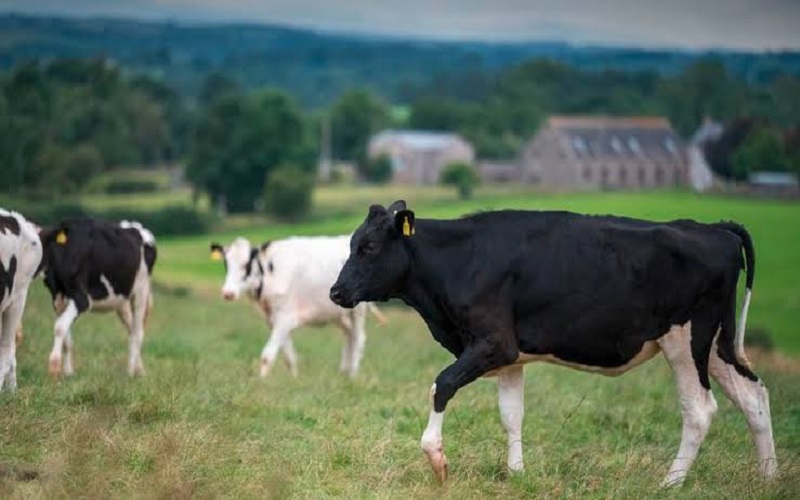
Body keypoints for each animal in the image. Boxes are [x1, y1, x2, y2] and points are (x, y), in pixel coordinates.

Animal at [39, 218, 157, 377]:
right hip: (122, 301)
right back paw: (139, 370)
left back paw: (130, 373)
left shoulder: (82, 299)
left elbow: (59, 327)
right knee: (131, 329)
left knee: (137, 332)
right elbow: (66, 337)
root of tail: (132, 225)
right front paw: (68, 372)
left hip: (141, 290)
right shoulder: (58, 299)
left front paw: (54, 367)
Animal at [210, 236, 386, 378]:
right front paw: (295, 379)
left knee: (358, 338)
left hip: (358, 311)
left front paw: (261, 381)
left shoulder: (285, 317)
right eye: (226, 263)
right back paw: (343, 373)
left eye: (246, 265)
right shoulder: (273, 320)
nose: (228, 293)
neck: (271, 272)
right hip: (340, 314)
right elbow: (289, 356)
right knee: (348, 335)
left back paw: (352, 376)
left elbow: (268, 355)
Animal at [330, 200, 777, 486]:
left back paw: (671, 482)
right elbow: (511, 414)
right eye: (352, 245)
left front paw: (437, 459)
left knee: (699, 409)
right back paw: (769, 477)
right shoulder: (510, 357)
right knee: (753, 395)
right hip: (717, 342)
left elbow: (442, 384)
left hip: (686, 340)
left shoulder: (494, 342)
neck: (460, 259)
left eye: (369, 247)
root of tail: (713, 227)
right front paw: (516, 474)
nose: (336, 292)